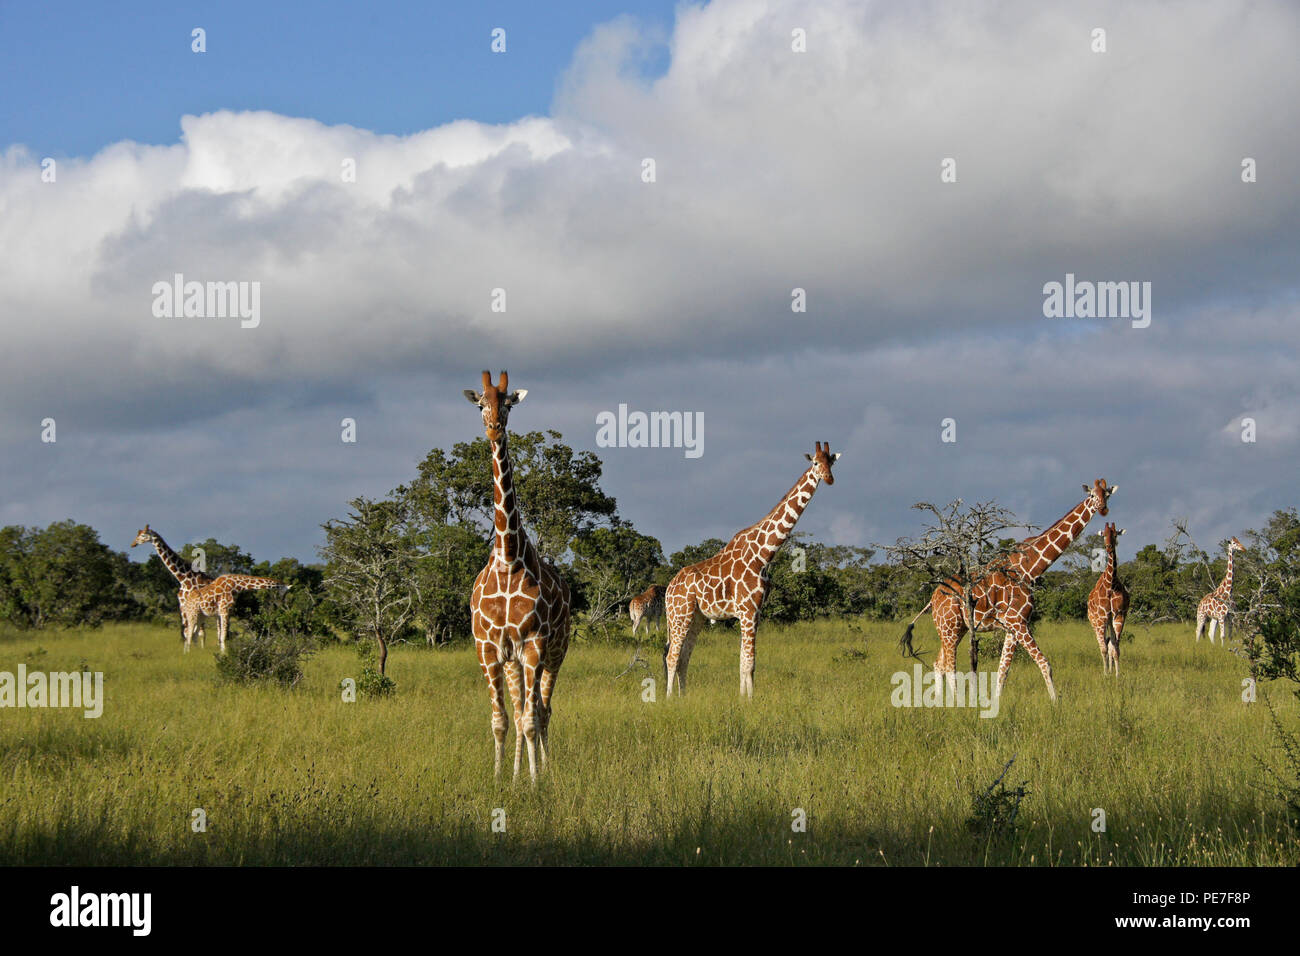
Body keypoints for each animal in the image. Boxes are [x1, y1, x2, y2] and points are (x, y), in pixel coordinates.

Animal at [130, 528, 287, 655]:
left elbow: (204, 633)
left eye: (142, 535)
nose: (133, 544)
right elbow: (197, 633)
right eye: (138, 535)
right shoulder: (188, 607)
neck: (184, 578)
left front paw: (206, 651)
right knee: (192, 631)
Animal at [465, 369, 572, 780]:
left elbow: (530, 719)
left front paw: (536, 782)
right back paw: (515, 773)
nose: (494, 428)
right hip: (514, 661)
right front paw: (501, 780)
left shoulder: (534, 644)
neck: (509, 559)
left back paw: (546, 769)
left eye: (509, 403)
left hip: (555, 652)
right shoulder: (489, 648)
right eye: (481, 404)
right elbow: (501, 720)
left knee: (542, 710)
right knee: (523, 706)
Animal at [665, 439, 837, 697]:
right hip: (680, 614)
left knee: (684, 657)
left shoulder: (755, 612)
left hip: (697, 617)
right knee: (671, 657)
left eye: (831, 463)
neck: (764, 554)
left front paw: (743, 698)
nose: (828, 478)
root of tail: (668, 589)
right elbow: (749, 663)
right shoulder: (746, 611)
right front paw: (749, 701)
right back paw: (667, 699)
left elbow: (743, 662)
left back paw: (683, 698)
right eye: (816, 463)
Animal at [904, 478, 1118, 702]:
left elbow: (1003, 670)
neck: (1029, 569)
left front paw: (996, 702)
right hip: (949, 628)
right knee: (949, 667)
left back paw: (939, 702)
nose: (1103, 509)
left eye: (1107, 494)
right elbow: (1045, 664)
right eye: (1092, 495)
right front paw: (1055, 702)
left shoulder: (1012, 626)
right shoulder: (1018, 622)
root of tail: (933, 598)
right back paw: (956, 703)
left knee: (939, 664)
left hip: (955, 628)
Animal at [1086, 522, 1128, 671]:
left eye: (1115, 534)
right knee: (1102, 644)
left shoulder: (1118, 615)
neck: (1111, 584)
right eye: (1103, 535)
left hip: (1108, 620)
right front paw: (1105, 674)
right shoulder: (1102, 617)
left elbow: (1115, 648)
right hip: (1095, 621)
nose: (1109, 547)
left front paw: (1117, 674)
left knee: (1109, 643)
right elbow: (1104, 648)